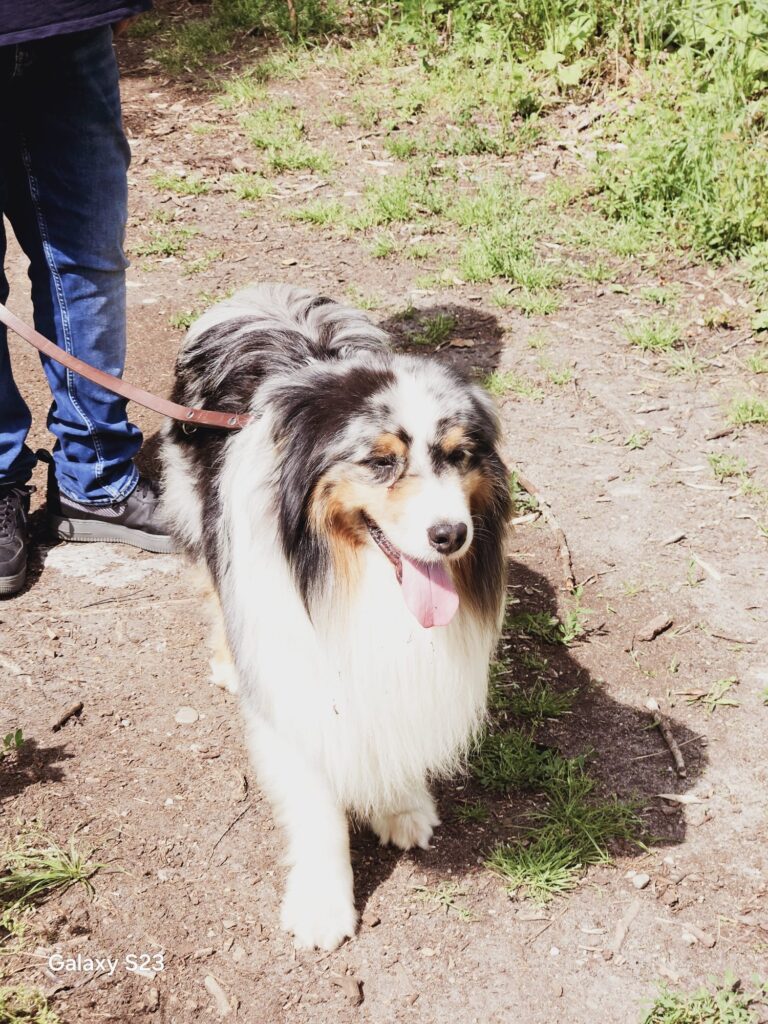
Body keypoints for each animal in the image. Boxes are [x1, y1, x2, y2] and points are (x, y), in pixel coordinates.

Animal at [160, 284, 512, 946]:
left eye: (459, 456)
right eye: (380, 462)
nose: (451, 535)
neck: (353, 578)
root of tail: (262, 296)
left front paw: (401, 805)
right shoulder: (297, 676)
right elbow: (317, 805)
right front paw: (323, 905)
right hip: (198, 512)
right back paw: (227, 662)